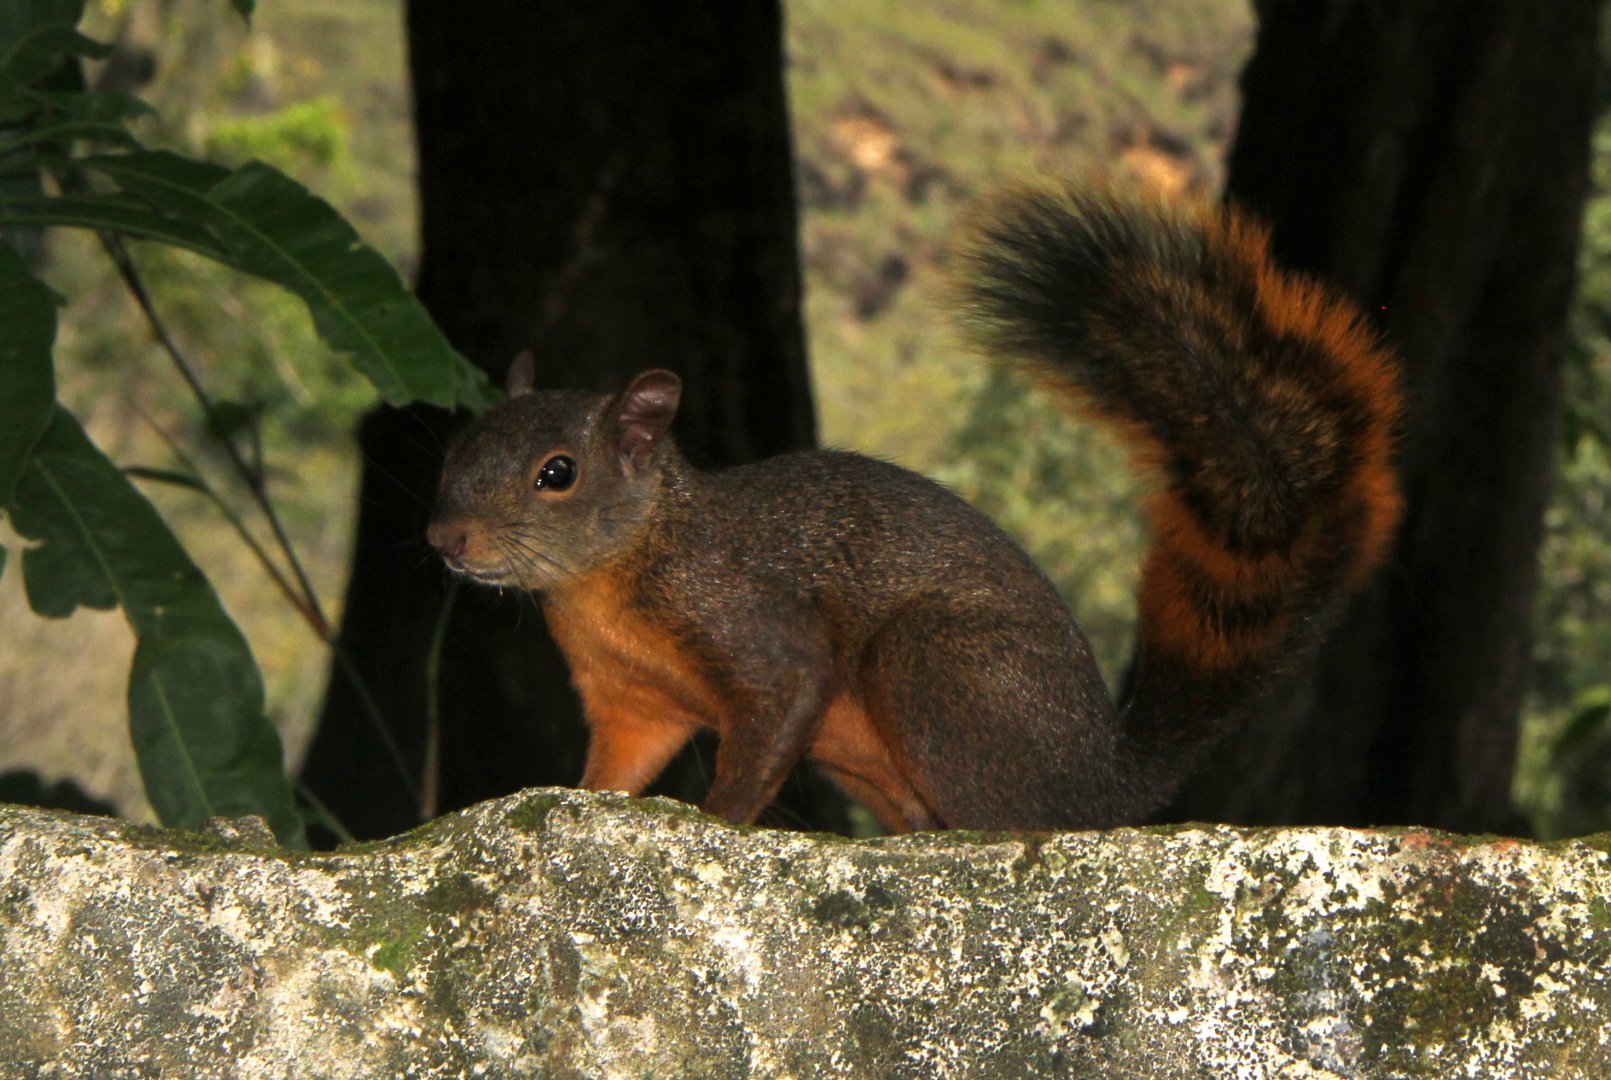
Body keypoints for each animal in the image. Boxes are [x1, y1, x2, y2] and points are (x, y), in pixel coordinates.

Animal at [426, 182, 1403, 832]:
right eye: (455, 447)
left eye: (557, 473)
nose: (444, 538)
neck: (614, 575)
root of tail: (1101, 780)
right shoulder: (633, 699)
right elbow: (614, 771)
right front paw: (581, 804)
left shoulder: (749, 621)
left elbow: (776, 711)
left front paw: (721, 822)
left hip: (932, 665)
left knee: (1005, 817)